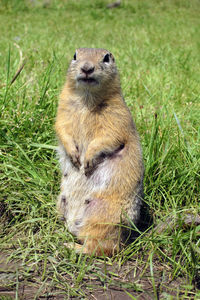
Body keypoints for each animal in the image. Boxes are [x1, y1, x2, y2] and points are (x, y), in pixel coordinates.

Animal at [55, 48, 144, 256]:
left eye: (106, 57)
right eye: (75, 55)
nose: (87, 68)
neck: (87, 99)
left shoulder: (117, 115)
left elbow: (109, 136)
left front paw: (87, 160)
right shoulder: (63, 110)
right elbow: (61, 127)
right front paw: (74, 155)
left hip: (101, 215)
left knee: (102, 248)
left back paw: (73, 247)